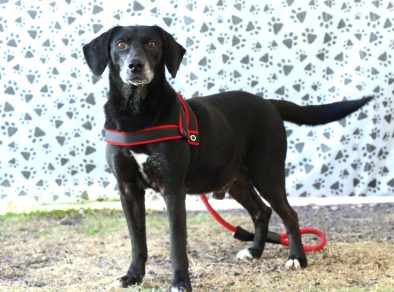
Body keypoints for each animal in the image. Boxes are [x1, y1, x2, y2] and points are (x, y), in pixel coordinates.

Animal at [83, 26, 372, 290]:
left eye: (152, 44)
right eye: (120, 44)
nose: (135, 65)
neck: (136, 112)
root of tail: (269, 103)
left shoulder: (173, 189)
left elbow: (177, 243)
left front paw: (180, 283)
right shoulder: (128, 190)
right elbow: (137, 241)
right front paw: (133, 276)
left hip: (267, 175)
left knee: (289, 215)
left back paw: (296, 259)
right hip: (237, 181)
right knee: (262, 211)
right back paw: (254, 252)